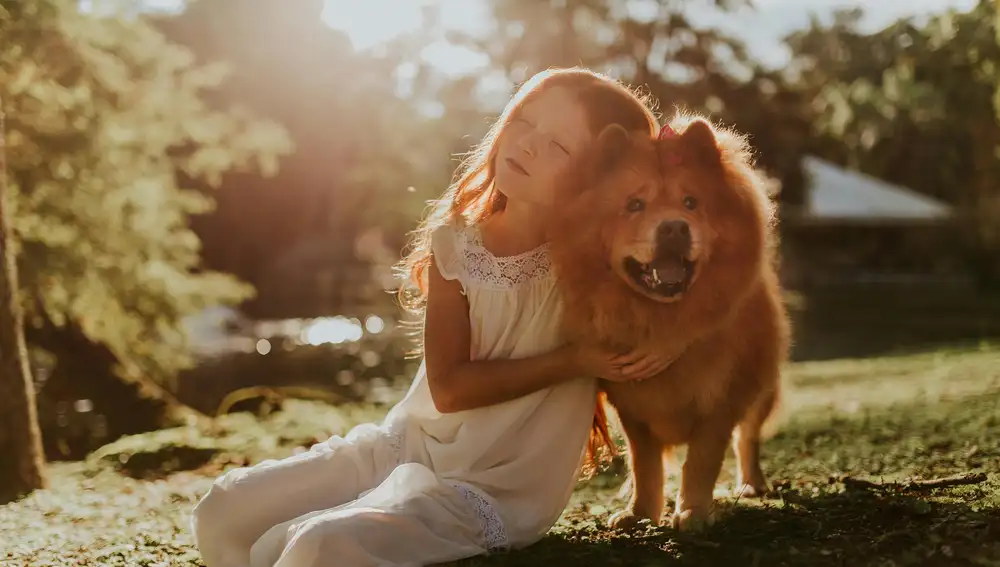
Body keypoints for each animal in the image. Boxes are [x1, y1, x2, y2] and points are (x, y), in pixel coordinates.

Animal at [548, 115, 788, 532]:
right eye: (634, 205)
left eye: (690, 202)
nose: (674, 227)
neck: (661, 318)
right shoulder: (632, 407)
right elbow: (645, 464)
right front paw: (640, 512)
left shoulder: (721, 402)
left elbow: (703, 461)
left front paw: (692, 513)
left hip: (762, 388)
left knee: (748, 438)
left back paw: (752, 485)